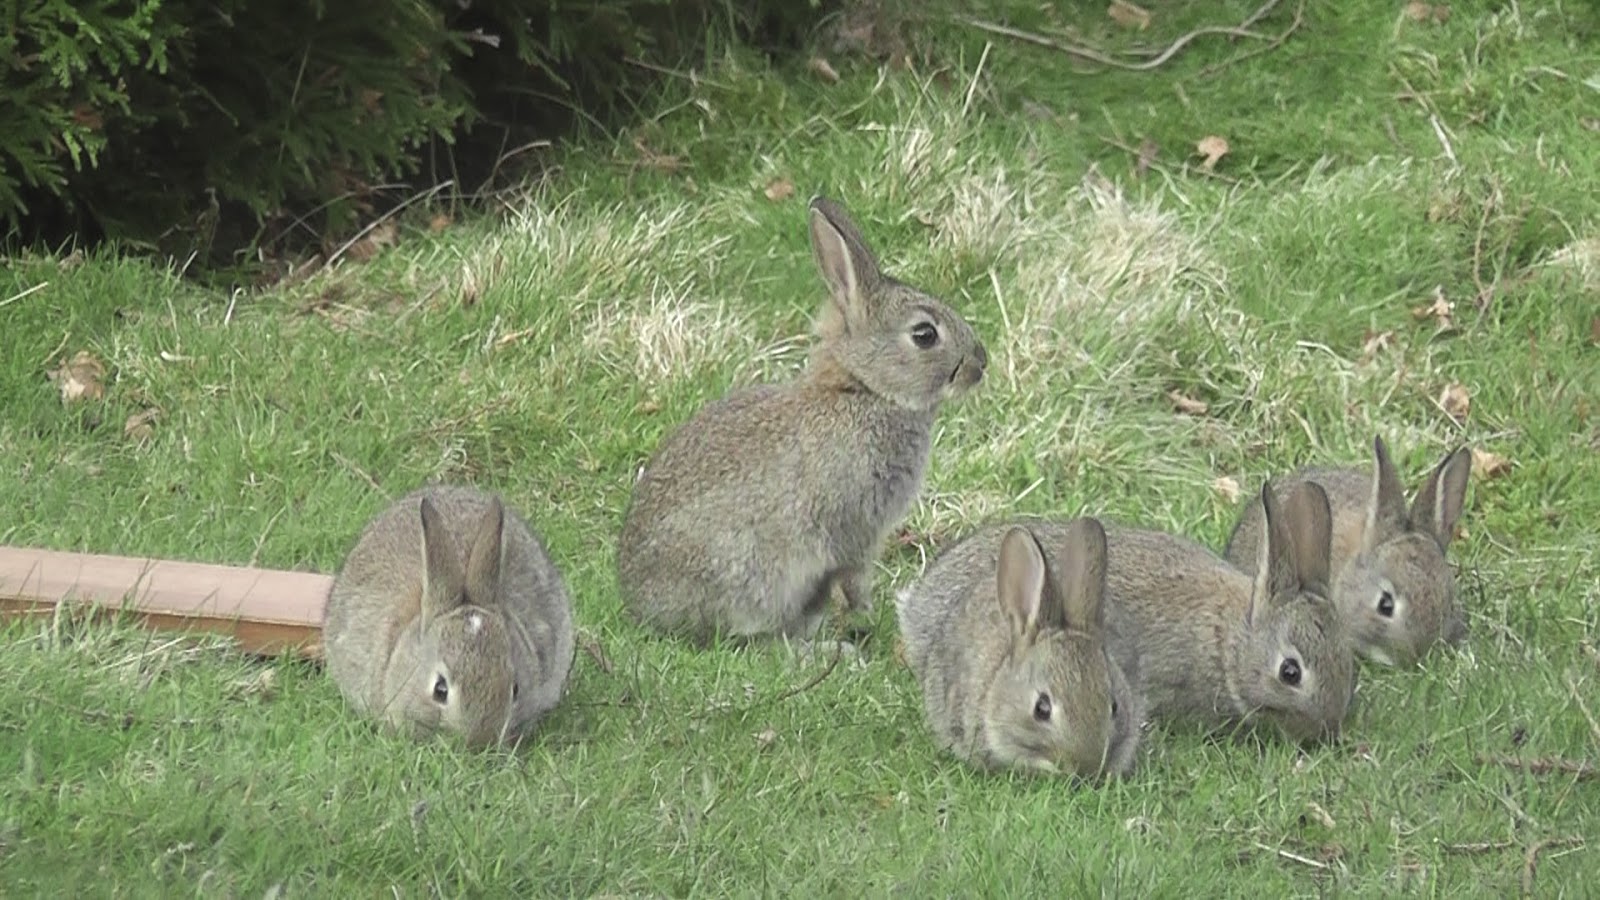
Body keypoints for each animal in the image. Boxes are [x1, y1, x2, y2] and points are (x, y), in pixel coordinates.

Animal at [617, 196, 988, 645]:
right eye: (924, 335)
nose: (981, 362)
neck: (865, 390)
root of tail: (641, 603)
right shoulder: (855, 526)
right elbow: (855, 575)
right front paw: (868, 615)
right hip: (754, 573)